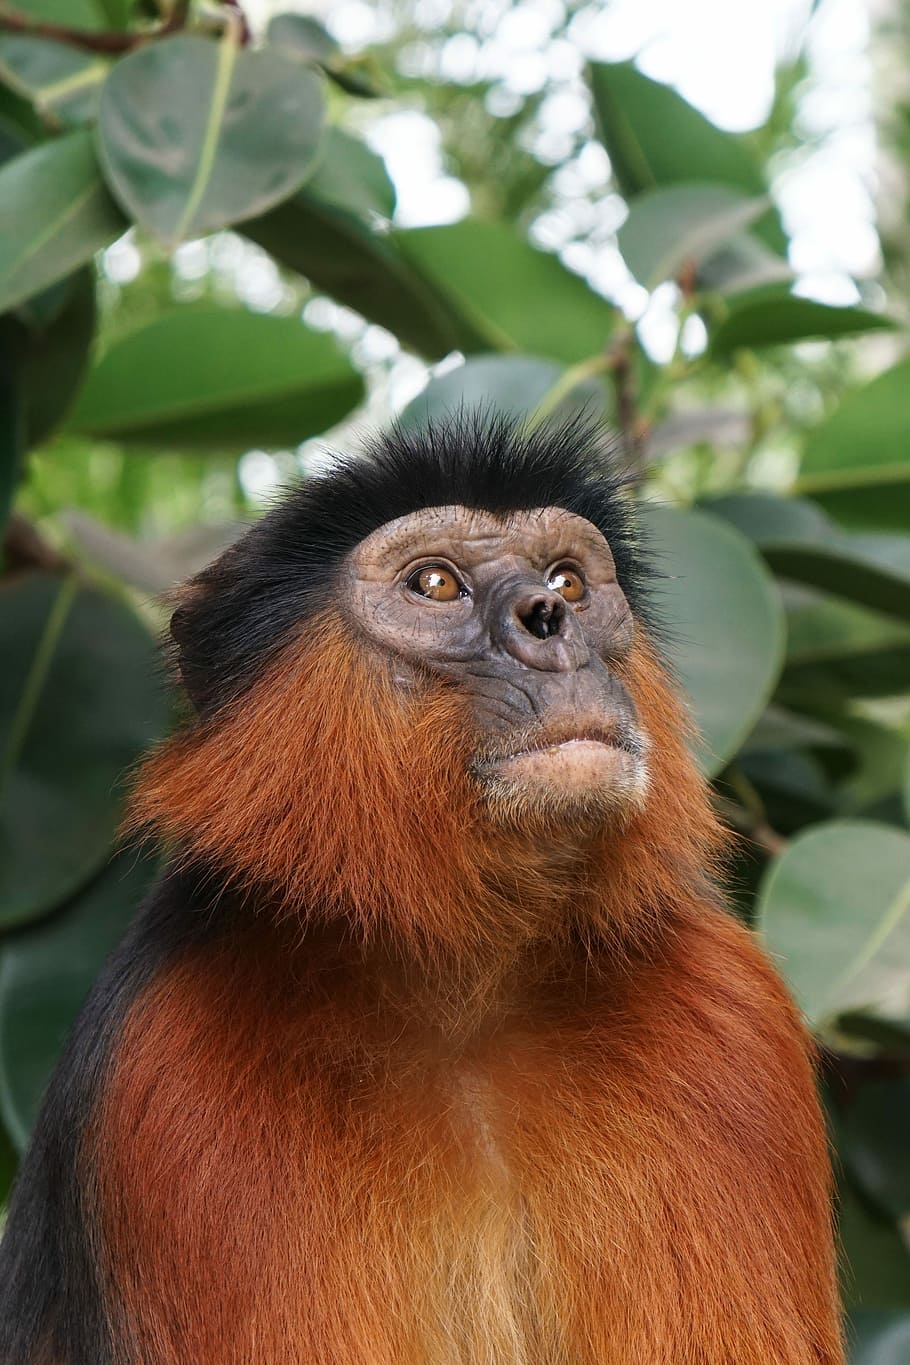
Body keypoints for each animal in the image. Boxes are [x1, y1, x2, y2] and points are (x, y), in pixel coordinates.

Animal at [0, 413, 842, 1365]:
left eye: (568, 579)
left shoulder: (733, 1019)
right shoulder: (168, 1066)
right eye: (436, 583)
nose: (550, 620)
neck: (464, 999)